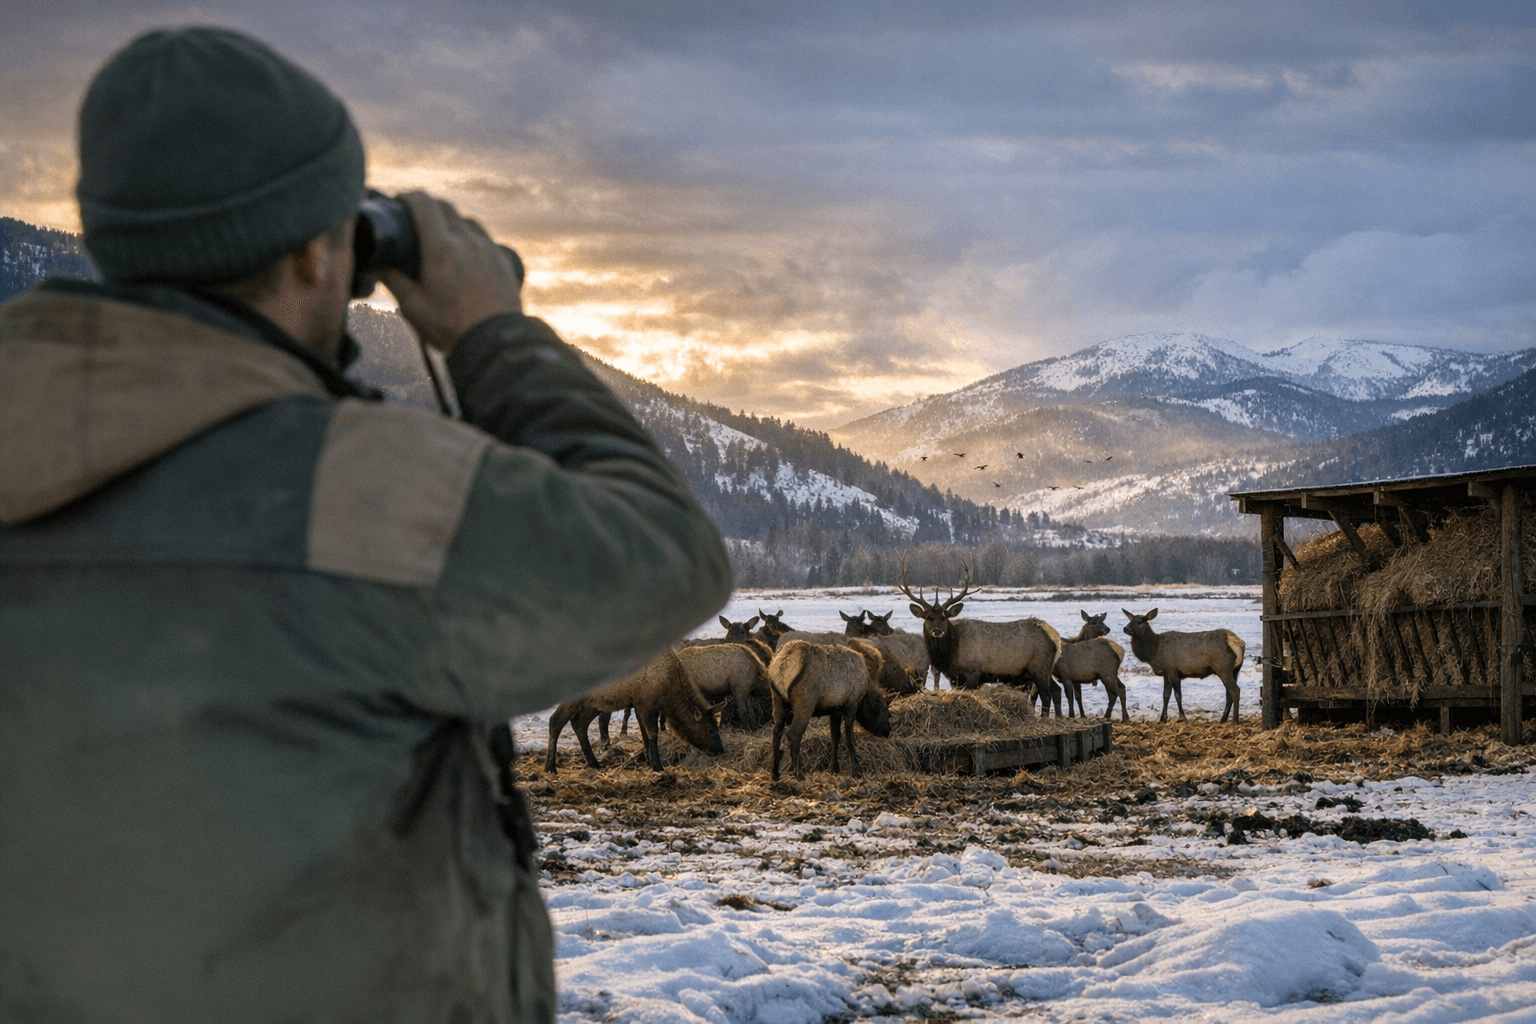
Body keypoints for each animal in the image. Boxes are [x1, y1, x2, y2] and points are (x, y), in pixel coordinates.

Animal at [545, 651, 724, 773]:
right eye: (710, 730)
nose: (721, 750)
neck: (668, 691)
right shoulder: (646, 702)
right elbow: (653, 733)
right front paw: (657, 766)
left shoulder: (637, 703)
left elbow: (644, 734)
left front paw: (648, 760)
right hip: (575, 697)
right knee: (556, 720)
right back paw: (550, 767)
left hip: (593, 704)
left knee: (579, 723)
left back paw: (594, 763)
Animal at [769, 638, 891, 780]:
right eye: (887, 713)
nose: (888, 731)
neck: (864, 692)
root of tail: (782, 667)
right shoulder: (851, 704)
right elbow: (849, 738)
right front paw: (856, 771)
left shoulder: (835, 710)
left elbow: (835, 737)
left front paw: (835, 768)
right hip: (805, 703)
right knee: (793, 734)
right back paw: (799, 774)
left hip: (778, 701)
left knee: (776, 733)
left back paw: (775, 773)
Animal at [898, 557, 1063, 714]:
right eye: (928, 618)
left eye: (944, 618)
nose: (937, 631)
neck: (950, 655)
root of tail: (1056, 639)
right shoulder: (956, 678)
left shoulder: (973, 672)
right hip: (1046, 669)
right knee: (1056, 689)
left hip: (1039, 667)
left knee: (1046, 695)